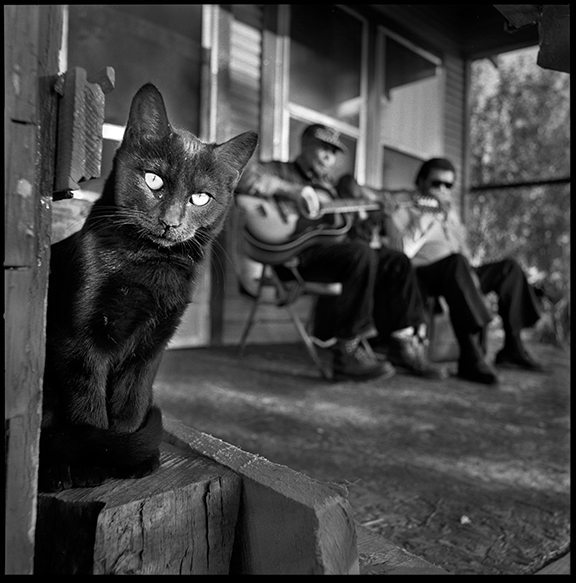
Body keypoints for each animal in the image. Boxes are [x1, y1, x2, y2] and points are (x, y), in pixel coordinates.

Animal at [39, 83, 258, 492]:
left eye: (200, 197)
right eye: (154, 180)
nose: (170, 221)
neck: (151, 267)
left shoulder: (151, 347)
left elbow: (132, 403)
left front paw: (131, 459)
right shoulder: (77, 341)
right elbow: (87, 408)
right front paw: (94, 465)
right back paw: (56, 471)